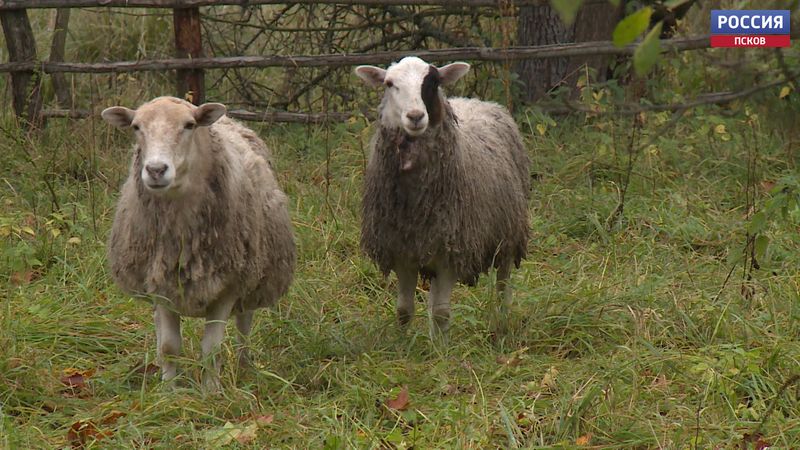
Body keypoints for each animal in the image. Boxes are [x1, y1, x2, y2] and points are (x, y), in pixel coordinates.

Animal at [102, 96, 296, 390]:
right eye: (136, 127)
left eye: (189, 125)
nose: (156, 170)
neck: (181, 240)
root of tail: (229, 119)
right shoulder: (161, 282)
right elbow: (169, 347)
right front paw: (170, 390)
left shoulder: (228, 287)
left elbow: (212, 349)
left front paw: (211, 392)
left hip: (253, 277)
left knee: (244, 326)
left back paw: (244, 368)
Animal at [356, 56, 532, 336]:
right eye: (389, 83)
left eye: (434, 81)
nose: (416, 116)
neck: (415, 205)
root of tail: (474, 100)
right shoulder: (400, 251)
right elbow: (404, 311)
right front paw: (402, 343)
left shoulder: (452, 251)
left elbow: (441, 314)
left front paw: (440, 346)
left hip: (508, 232)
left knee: (503, 283)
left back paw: (502, 323)